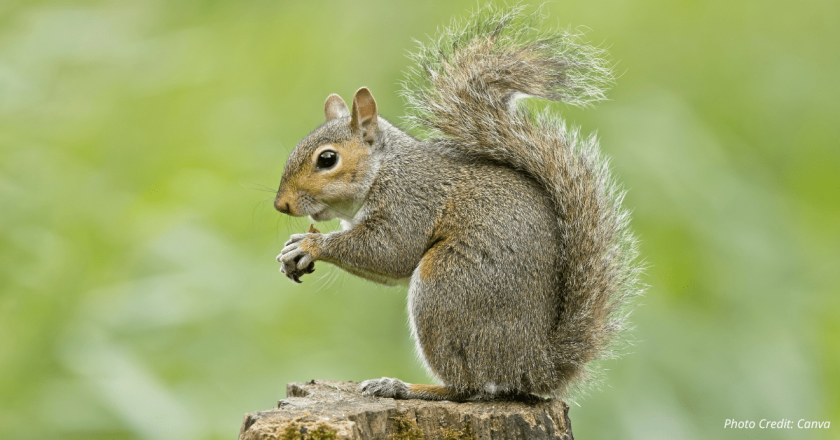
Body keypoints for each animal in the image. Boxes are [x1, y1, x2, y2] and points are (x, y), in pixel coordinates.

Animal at [274, 5, 643, 401]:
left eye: (328, 159)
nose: (281, 205)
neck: (384, 170)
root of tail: (532, 367)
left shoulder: (411, 200)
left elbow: (391, 251)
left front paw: (311, 244)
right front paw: (294, 249)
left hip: (445, 289)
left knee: (467, 386)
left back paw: (404, 386)